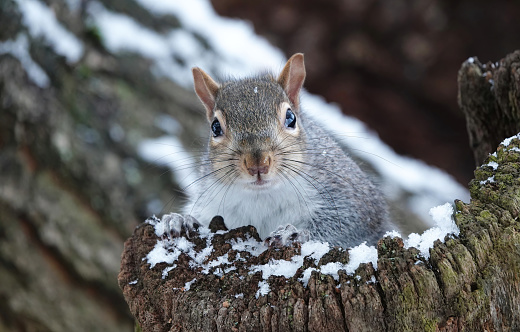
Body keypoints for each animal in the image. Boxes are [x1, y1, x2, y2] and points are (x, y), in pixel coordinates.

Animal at [180, 53, 394, 246]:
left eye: (290, 118)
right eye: (215, 127)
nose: (258, 164)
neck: (263, 195)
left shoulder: (352, 204)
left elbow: (342, 229)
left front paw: (294, 233)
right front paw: (182, 221)